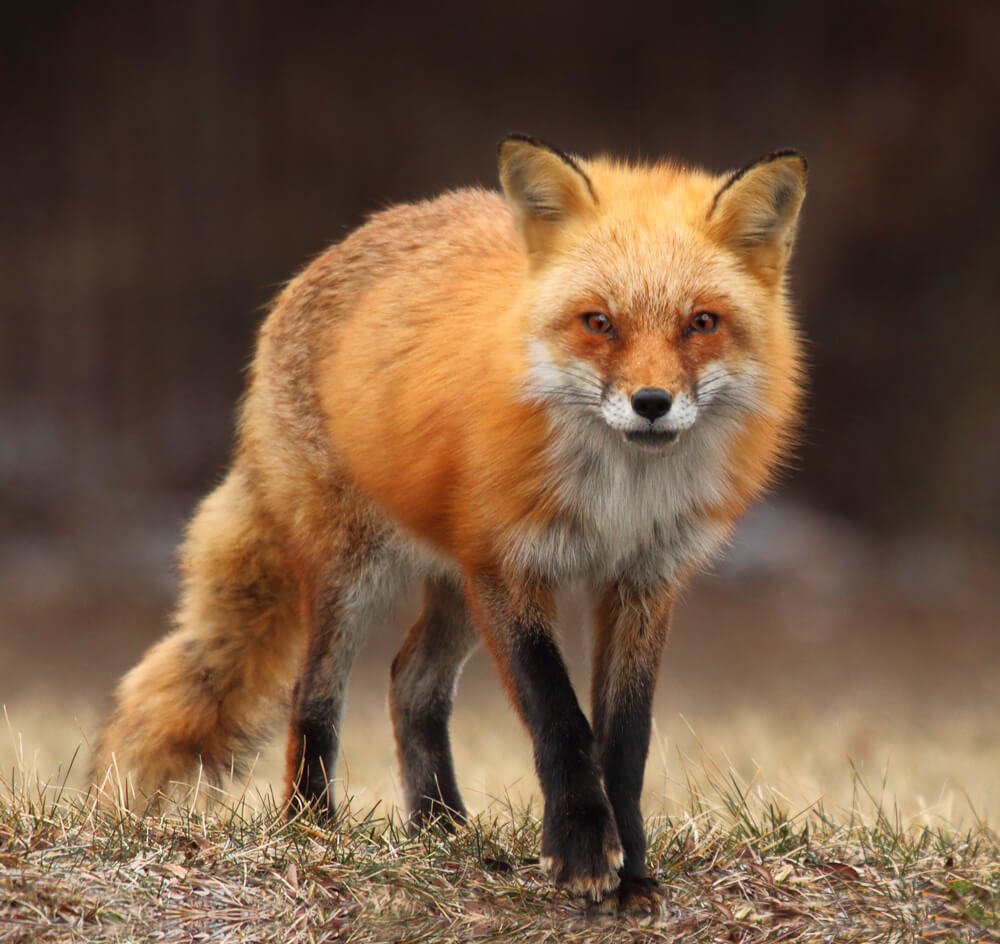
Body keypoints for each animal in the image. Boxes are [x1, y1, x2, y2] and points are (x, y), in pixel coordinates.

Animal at [94, 136, 808, 912]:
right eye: (598, 322)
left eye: (702, 322)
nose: (652, 403)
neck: (618, 498)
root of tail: (333, 252)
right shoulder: (510, 566)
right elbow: (559, 718)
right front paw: (583, 850)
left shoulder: (642, 582)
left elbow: (625, 740)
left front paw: (635, 874)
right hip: (361, 572)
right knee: (313, 695)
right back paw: (313, 828)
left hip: (457, 585)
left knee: (410, 682)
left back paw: (440, 828)